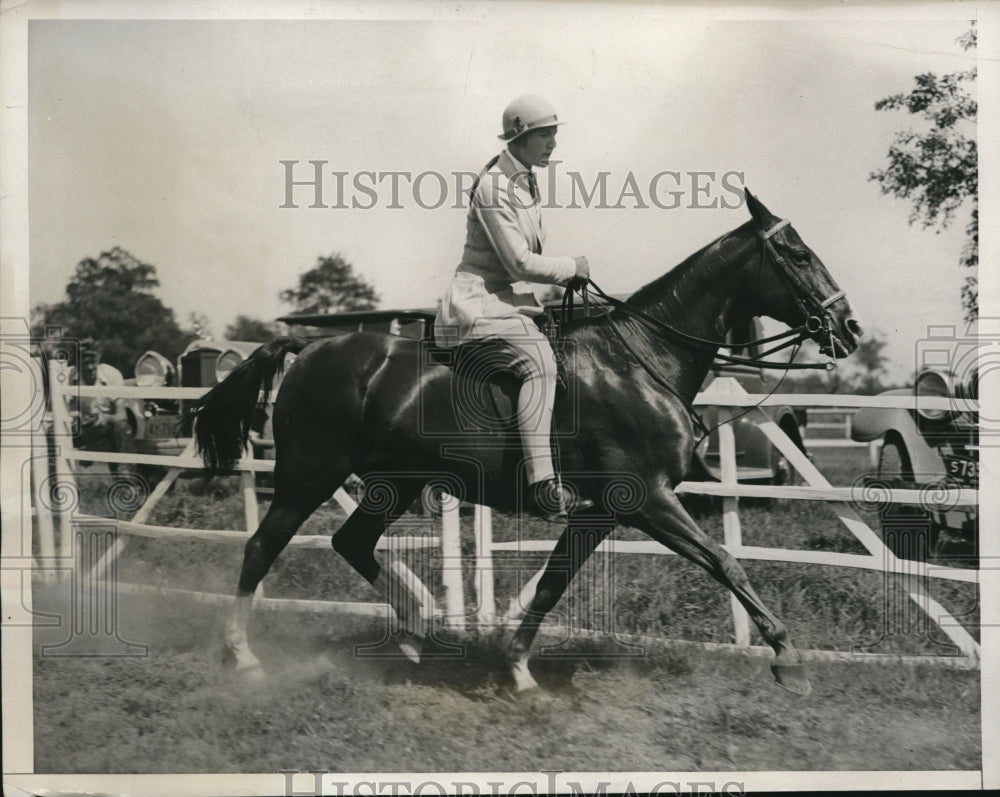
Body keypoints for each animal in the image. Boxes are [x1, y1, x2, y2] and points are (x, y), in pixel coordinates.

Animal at [193, 190, 861, 696]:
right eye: (797, 254)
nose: (848, 327)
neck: (641, 361)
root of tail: (310, 348)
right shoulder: (648, 500)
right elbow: (725, 561)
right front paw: (788, 658)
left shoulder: (601, 513)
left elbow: (551, 583)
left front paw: (516, 666)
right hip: (310, 475)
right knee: (262, 548)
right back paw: (245, 656)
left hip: (392, 483)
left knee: (351, 542)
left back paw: (419, 633)